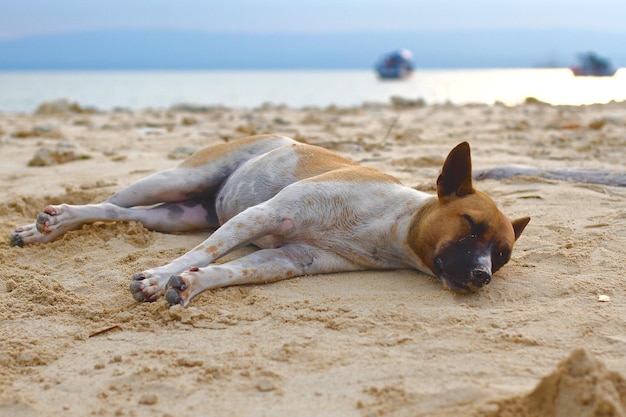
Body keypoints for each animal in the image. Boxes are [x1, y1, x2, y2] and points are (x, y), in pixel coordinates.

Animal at [9, 135, 528, 308]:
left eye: (502, 256)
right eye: (470, 224)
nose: (482, 275)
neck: (389, 225)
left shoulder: (288, 259)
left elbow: (227, 268)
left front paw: (189, 284)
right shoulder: (262, 215)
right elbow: (205, 252)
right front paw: (158, 277)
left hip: (179, 214)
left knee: (123, 214)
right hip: (176, 179)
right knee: (108, 205)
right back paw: (53, 224)